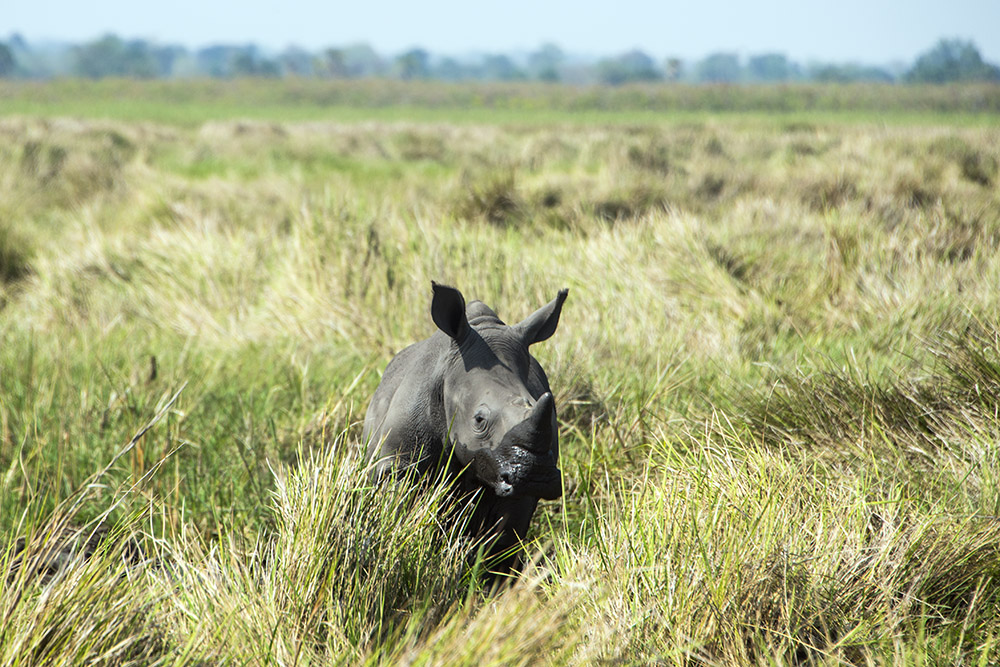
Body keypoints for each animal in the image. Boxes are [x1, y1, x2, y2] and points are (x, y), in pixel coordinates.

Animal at [363, 282, 568, 572]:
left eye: (548, 414)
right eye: (479, 420)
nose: (534, 476)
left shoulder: (519, 492)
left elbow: (502, 545)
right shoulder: (398, 464)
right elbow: (401, 515)